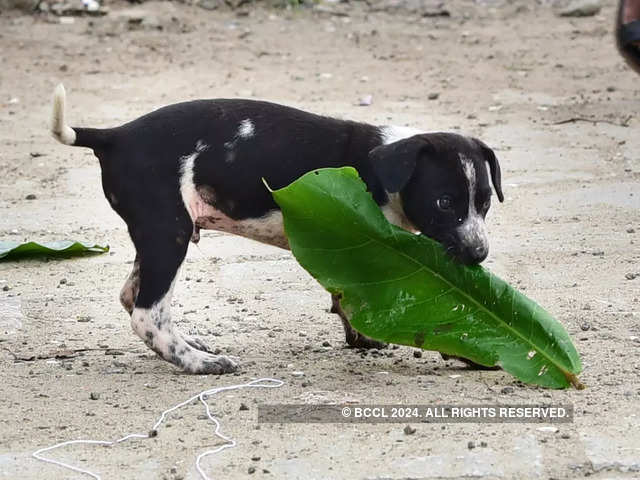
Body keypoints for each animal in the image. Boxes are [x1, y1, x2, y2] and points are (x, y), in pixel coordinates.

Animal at [50, 83, 502, 376]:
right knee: (148, 314)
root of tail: (116, 135)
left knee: (132, 296)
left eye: (483, 203)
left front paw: (360, 337)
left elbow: (344, 298)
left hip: (157, 235)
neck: (382, 166)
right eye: (444, 203)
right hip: (169, 233)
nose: (479, 254)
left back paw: (192, 344)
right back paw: (199, 362)